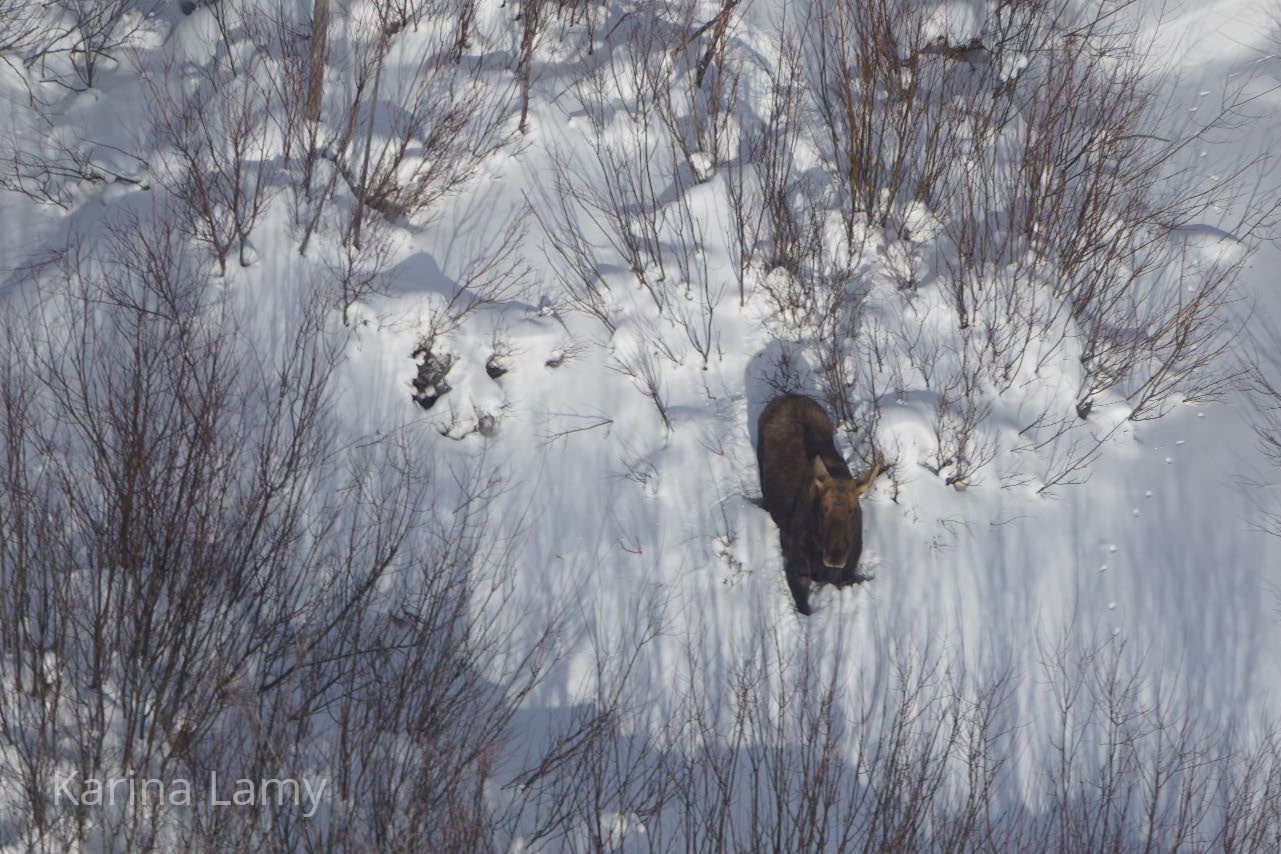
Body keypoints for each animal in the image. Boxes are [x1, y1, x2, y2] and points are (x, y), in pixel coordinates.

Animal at [758, 394, 881, 614]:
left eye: (852, 511)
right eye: (823, 509)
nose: (835, 557)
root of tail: (788, 396)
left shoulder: (844, 575)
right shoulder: (797, 570)